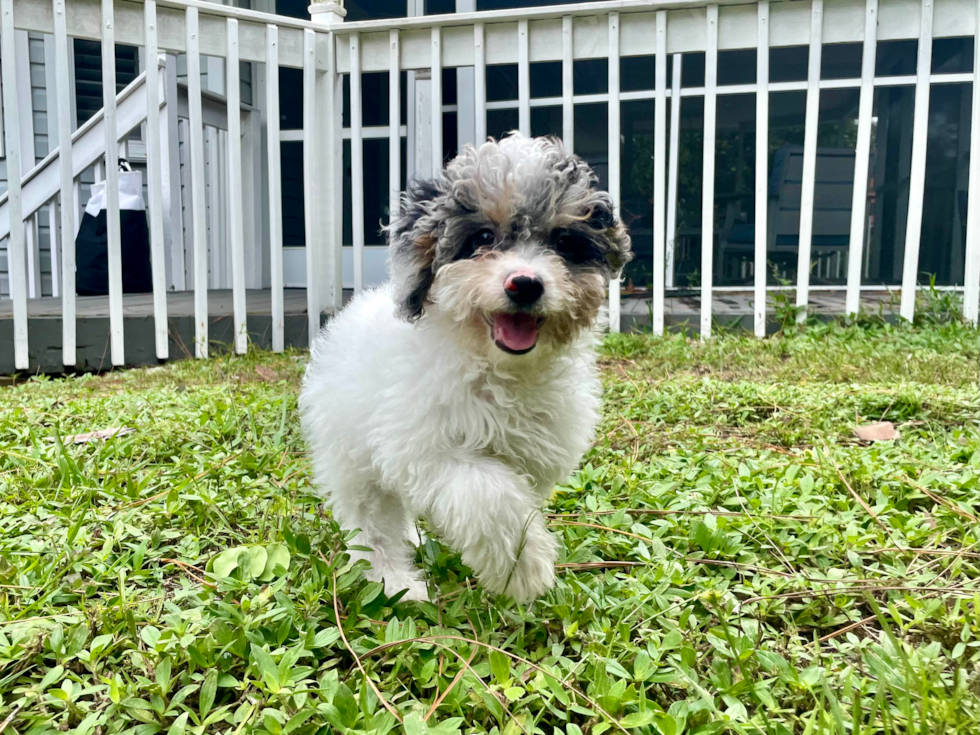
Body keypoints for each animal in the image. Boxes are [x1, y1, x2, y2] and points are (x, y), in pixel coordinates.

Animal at [298, 134, 632, 604]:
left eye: (564, 242)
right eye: (484, 236)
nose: (525, 284)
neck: (496, 367)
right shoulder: (426, 448)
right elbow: (488, 495)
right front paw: (523, 568)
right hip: (350, 453)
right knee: (371, 521)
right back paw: (394, 581)